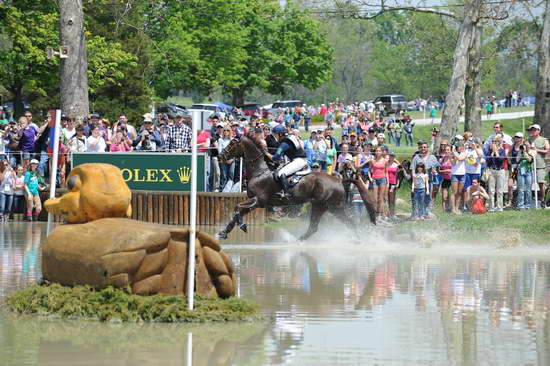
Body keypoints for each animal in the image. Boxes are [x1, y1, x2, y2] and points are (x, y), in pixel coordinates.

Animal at [218, 134, 378, 240]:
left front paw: (243, 226)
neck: (259, 171)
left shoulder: (259, 201)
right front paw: (224, 232)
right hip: (323, 206)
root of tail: (340, 180)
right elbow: (237, 213)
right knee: (315, 227)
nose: (220, 156)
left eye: (232, 144)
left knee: (348, 223)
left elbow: (237, 208)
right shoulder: (254, 202)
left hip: (331, 207)